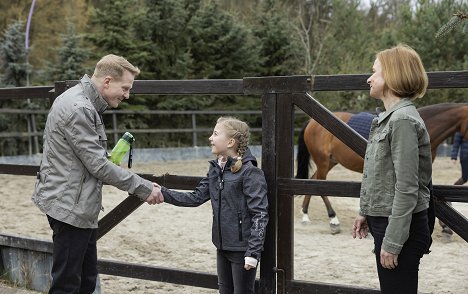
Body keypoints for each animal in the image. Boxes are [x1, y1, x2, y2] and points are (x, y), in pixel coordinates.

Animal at [296, 103, 468, 234]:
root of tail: (311, 122)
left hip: (330, 162)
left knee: (313, 181)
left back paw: (305, 215)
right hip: (323, 162)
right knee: (320, 184)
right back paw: (333, 220)